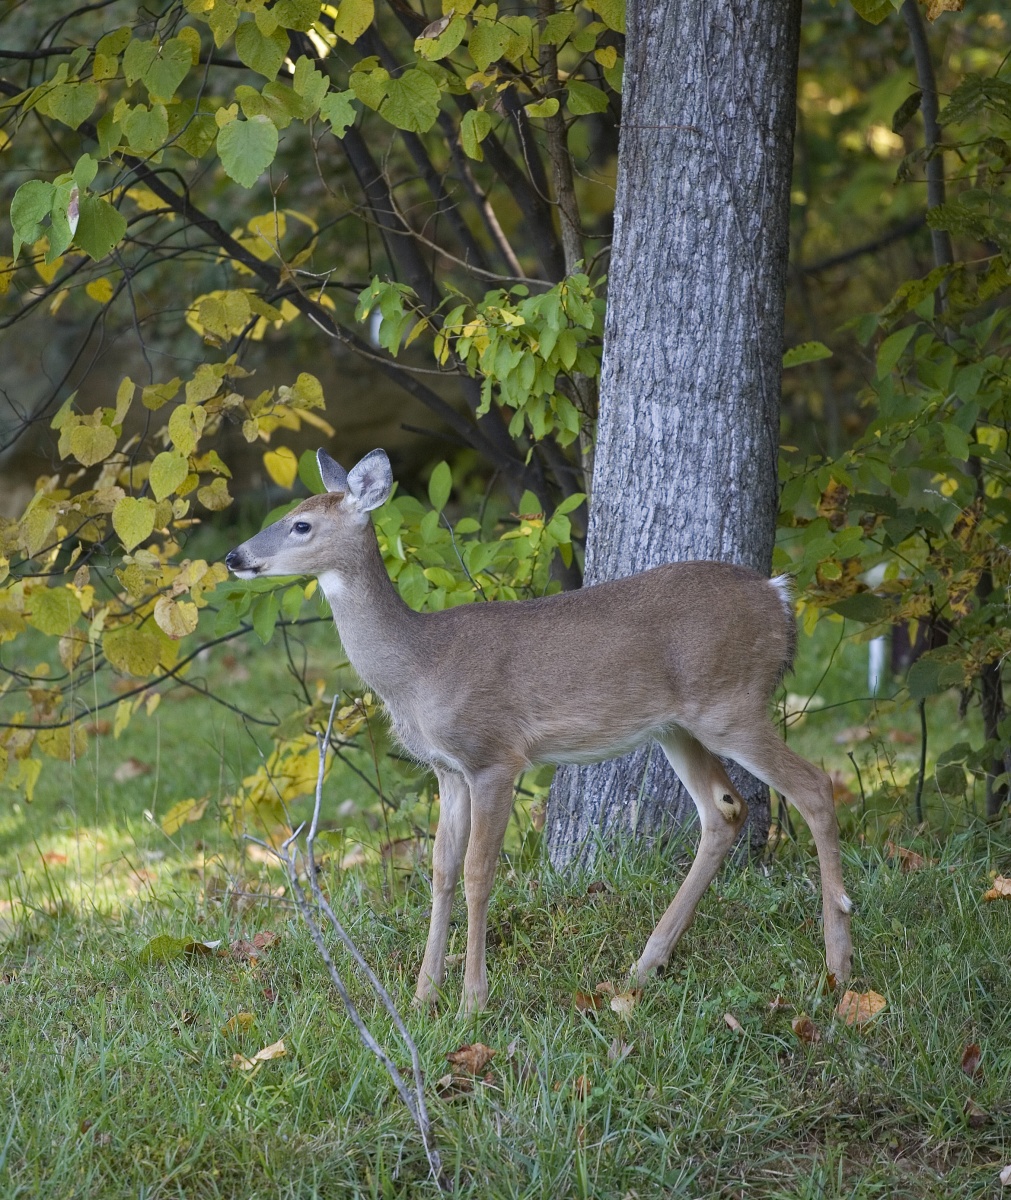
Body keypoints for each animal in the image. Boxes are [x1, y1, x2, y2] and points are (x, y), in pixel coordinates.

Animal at [222, 451, 850, 1012]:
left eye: (301, 524)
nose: (233, 556)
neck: (419, 666)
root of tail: (778, 595)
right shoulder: (448, 770)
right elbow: (440, 871)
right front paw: (424, 995)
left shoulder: (494, 755)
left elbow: (478, 872)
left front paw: (471, 1002)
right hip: (677, 726)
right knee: (724, 809)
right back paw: (644, 967)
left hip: (730, 703)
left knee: (816, 787)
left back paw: (838, 963)